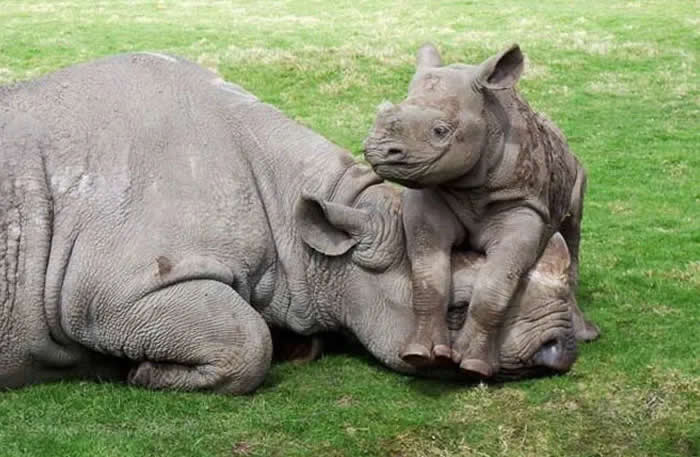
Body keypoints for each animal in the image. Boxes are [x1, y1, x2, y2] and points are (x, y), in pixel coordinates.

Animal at [364, 44, 599, 377]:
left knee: (571, 231)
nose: (378, 151)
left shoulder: (522, 205)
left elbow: (495, 284)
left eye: (440, 131)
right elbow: (428, 279)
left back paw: (587, 334)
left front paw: (473, 365)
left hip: (577, 171)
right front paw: (419, 354)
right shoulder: (429, 196)